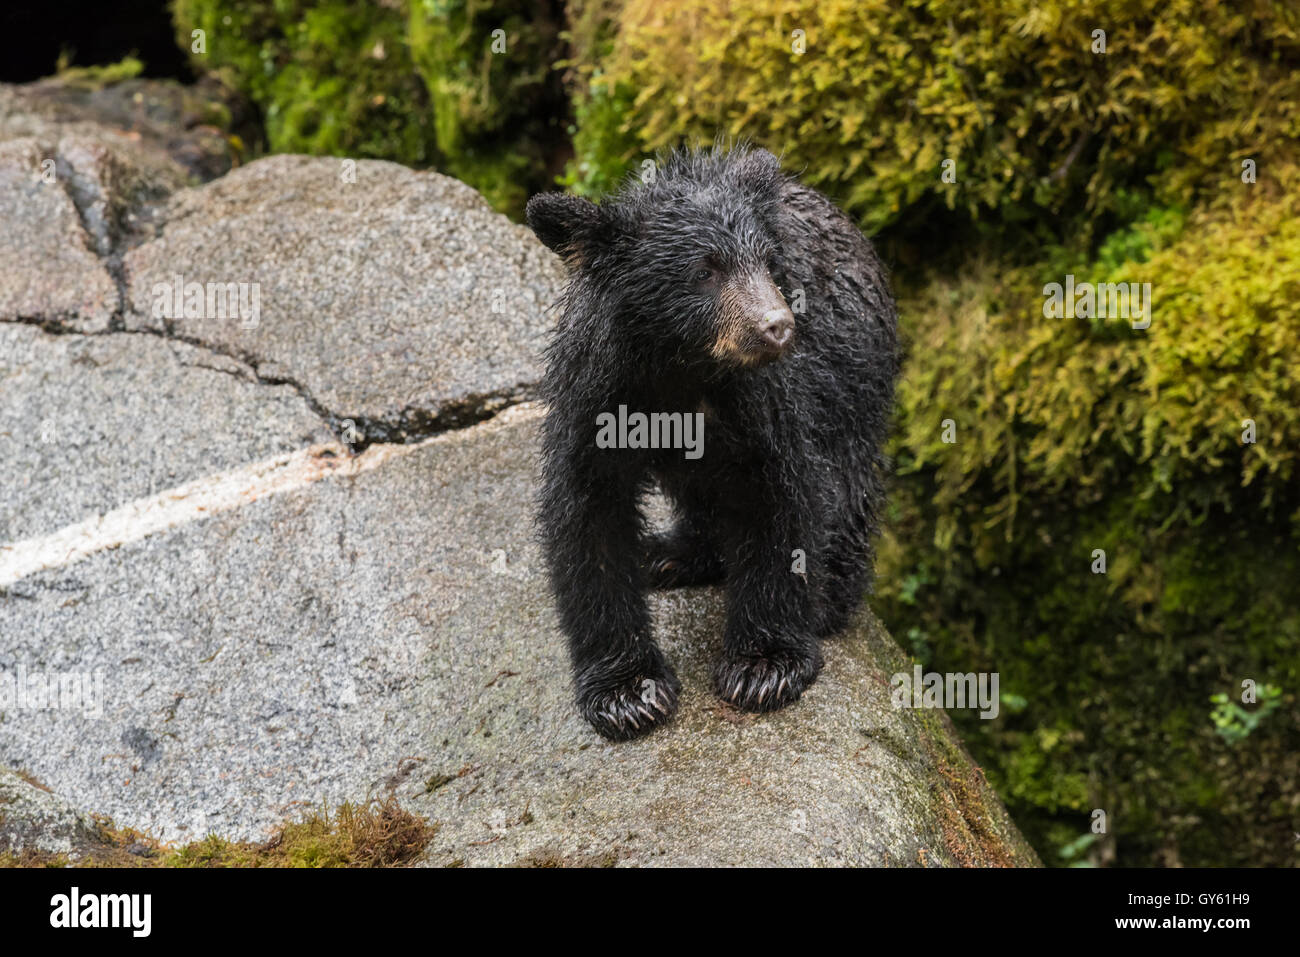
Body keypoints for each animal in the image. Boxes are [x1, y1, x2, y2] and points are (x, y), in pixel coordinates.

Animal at [526, 144, 899, 741]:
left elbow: (781, 495)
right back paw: (671, 553)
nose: (777, 326)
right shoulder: (595, 393)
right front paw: (627, 692)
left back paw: (830, 596)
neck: (678, 366)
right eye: (704, 270)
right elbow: (587, 513)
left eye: (766, 263)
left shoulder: (766, 397)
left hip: (855, 373)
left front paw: (764, 666)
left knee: (847, 481)